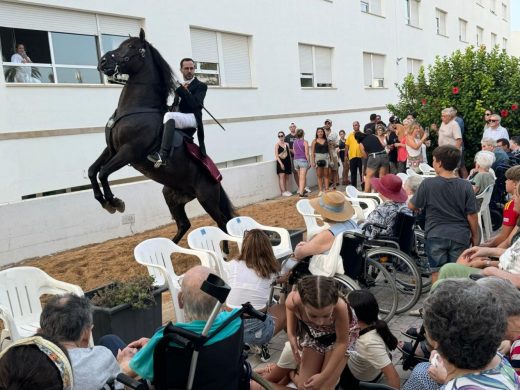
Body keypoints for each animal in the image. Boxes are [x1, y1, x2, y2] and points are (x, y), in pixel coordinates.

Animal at [88, 29, 235, 244]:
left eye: (130, 47)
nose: (103, 61)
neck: (138, 108)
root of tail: (216, 176)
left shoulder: (129, 151)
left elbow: (103, 172)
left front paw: (115, 202)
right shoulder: (112, 149)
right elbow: (93, 171)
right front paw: (103, 201)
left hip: (206, 198)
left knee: (222, 223)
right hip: (172, 196)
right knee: (184, 224)